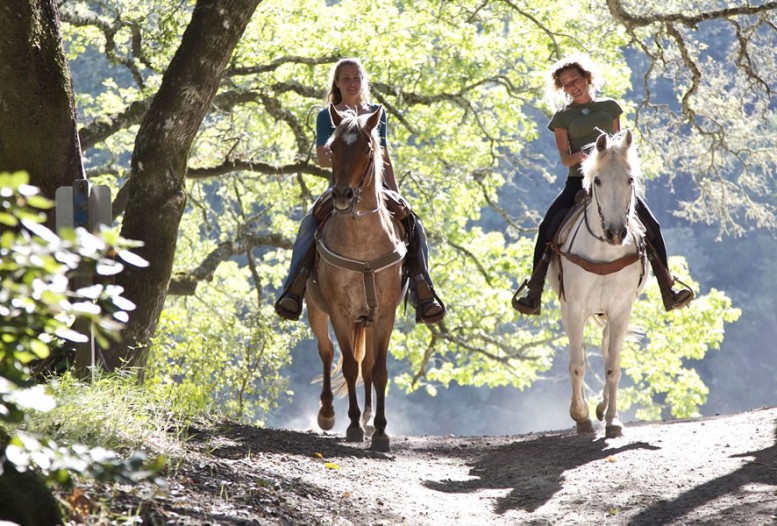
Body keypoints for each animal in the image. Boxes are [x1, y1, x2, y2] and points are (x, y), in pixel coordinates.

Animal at [304, 103, 406, 454]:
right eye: (333, 148)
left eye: (366, 149)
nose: (343, 196)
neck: (362, 244)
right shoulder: (339, 311)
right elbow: (347, 365)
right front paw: (351, 427)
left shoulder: (385, 314)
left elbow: (378, 370)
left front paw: (381, 432)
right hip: (316, 309)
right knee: (326, 352)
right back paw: (327, 413)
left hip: (368, 320)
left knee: (367, 365)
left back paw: (369, 418)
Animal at [544, 132, 648, 442]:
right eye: (598, 180)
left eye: (629, 179)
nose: (616, 233)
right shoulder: (574, 308)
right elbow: (577, 364)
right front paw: (580, 416)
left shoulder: (621, 310)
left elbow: (613, 366)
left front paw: (613, 420)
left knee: (605, 349)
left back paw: (603, 409)